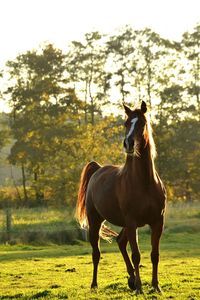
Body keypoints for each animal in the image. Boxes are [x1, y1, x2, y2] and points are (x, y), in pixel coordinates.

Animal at [76, 101, 166, 292]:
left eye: (142, 123)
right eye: (126, 123)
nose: (128, 144)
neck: (144, 182)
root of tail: (98, 169)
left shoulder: (157, 222)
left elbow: (154, 255)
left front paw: (156, 286)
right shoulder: (132, 222)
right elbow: (136, 255)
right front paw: (140, 288)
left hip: (125, 224)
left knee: (120, 241)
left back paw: (131, 279)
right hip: (96, 221)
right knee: (96, 253)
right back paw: (95, 284)